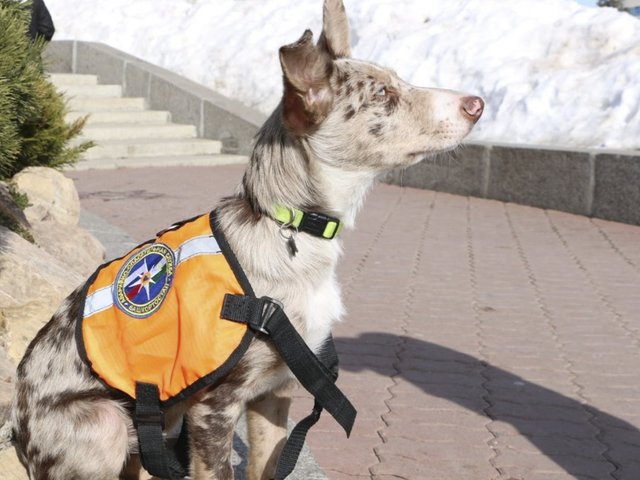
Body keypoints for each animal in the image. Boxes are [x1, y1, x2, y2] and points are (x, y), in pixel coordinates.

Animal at [11, 1, 480, 478]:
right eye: (383, 94)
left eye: (397, 79)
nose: (476, 104)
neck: (288, 227)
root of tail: (16, 429)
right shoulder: (214, 407)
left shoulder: (275, 392)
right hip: (106, 424)